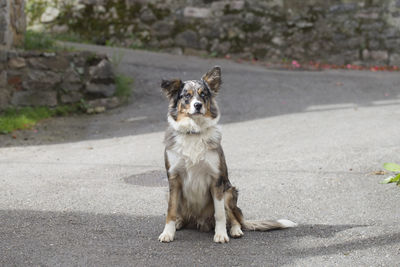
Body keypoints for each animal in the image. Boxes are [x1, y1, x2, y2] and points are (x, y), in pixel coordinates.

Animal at [158, 66, 296, 244]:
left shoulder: (217, 180)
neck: (194, 132)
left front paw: (221, 234)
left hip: (229, 192)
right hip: (168, 193)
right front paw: (168, 233)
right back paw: (180, 222)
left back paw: (235, 230)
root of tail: (198, 220)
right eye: (186, 95)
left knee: (235, 218)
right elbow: (171, 211)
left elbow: (220, 214)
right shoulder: (174, 179)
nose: (198, 105)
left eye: (204, 94)